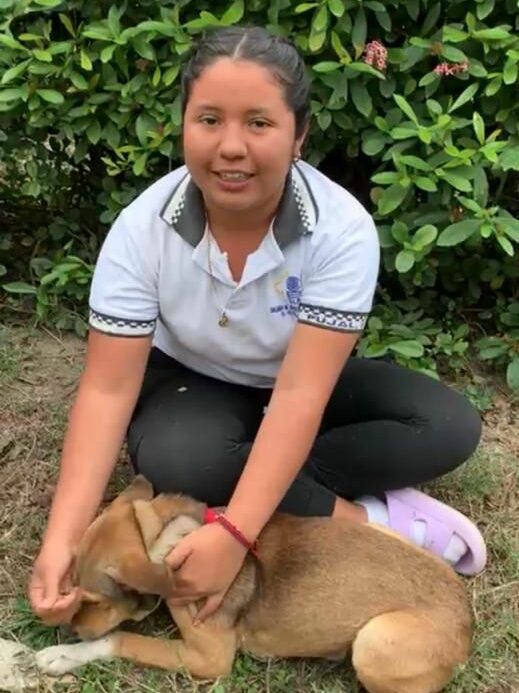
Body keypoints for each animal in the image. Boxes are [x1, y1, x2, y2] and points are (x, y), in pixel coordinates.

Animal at [35, 476, 476, 692]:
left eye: (95, 600)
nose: (72, 629)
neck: (165, 536)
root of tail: (466, 620)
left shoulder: (209, 659)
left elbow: (123, 639)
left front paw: (63, 655)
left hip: (374, 641)